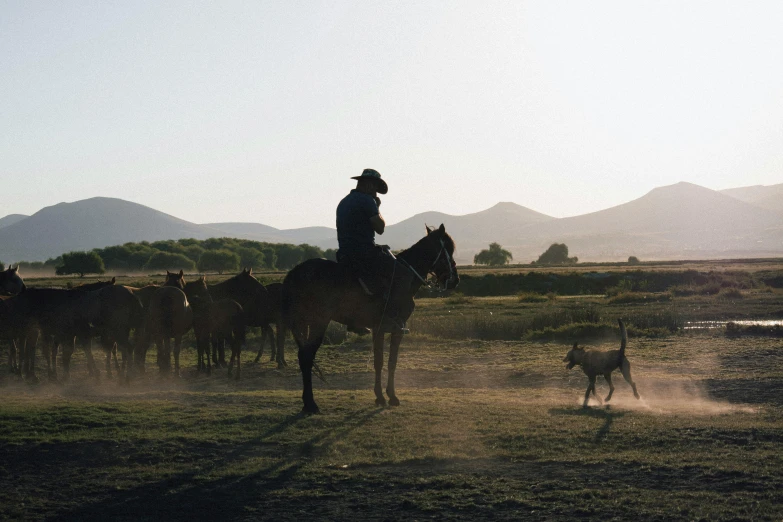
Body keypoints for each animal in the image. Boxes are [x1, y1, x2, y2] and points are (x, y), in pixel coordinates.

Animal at [282, 223, 456, 410]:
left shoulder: (379, 329)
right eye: (449, 249)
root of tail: (294, 273)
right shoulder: (394, 328)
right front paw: (388, 396)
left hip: (303, 323)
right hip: (318, 322)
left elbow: (382, 361)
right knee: (307, 356)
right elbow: (387, 361)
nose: (455, 280)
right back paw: (311, 404)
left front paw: (382, 395)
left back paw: (307, 402)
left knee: (303, 357)